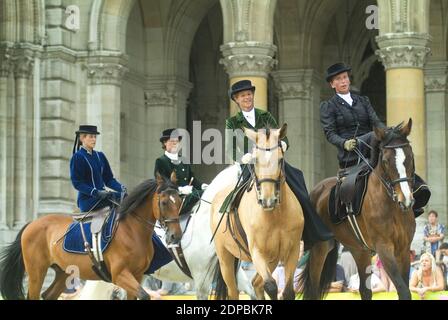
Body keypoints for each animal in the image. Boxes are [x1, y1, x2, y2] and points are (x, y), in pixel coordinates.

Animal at [0, 172, 183, 300]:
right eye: (164, 202)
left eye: (180, 202)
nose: (176, 236)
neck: (132, 231)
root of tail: (31, 224)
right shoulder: (120, 274)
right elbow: (144, 295)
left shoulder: (137, 275)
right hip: (36, 272)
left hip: (63, 272)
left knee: (48, 295)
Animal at [210, 125, 304, 300]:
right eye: (255, 161)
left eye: (280, 160)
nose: (268, 200)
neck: (276, 216)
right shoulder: (257, 252)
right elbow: (271, 286)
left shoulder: (292, 250)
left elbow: (287, 291)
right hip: (225, 258)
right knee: (234, 291)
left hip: (273, 258)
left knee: (256, 283)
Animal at [300, 118, 418, 300]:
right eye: (385, 161)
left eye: (410, 157)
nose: (405, 200)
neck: (393, 208)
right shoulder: (384, 249)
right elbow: (404, 291)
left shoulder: (403, 250)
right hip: (321, 247)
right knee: (313, 289)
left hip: (359, 250)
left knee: (364, 290)